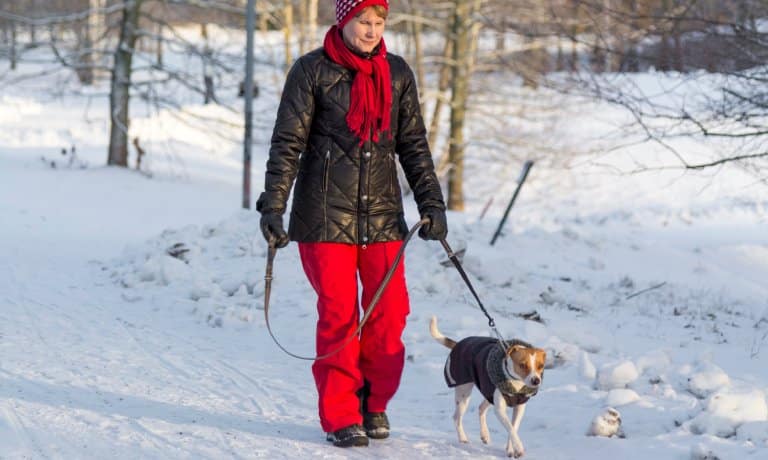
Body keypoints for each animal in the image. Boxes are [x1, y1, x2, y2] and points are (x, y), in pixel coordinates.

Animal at [426, 314, 544, 458]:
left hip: (488, 393)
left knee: (481, 408)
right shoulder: (499, 409)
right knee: (456, 417)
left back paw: (485, 434)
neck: (516, 384)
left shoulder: (519, 407)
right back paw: (463, 438)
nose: (536, 381)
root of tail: (458, 344)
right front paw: (519, 447)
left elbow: (513, 428)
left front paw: (510, 449)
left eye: (540, 366)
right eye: (522, 365)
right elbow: (510, 428)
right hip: (464, 393)